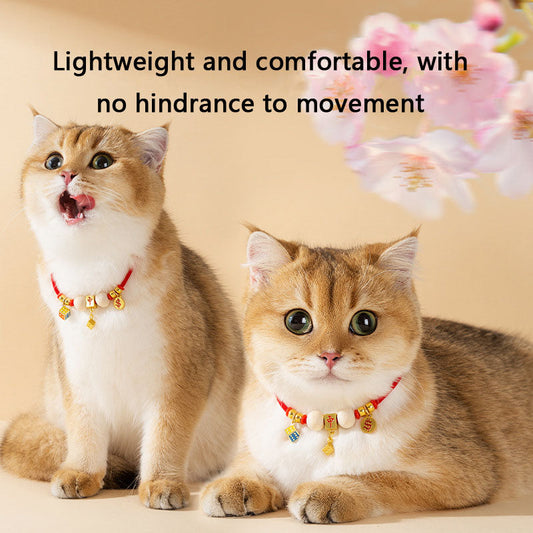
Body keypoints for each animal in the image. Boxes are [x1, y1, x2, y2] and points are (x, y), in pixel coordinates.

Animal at [0, 112, 244, 509]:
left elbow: (166, 437)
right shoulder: (78, 378)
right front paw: (82, 474)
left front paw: (161, 483)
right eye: (53, 160)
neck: (92, 270)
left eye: (102, 161)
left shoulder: (180, 379)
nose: (66, 174)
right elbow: (84, 434)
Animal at [201, 228, 533, 523]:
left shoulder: (465, 473)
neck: (328, 418)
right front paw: (237, 483)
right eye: (297, 321)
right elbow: (248, 463)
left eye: (364, 322)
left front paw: (333, 489)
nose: (330, 355)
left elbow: (382, 478)